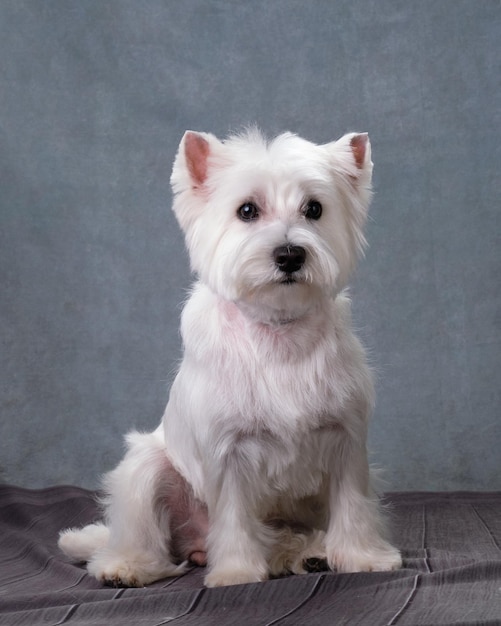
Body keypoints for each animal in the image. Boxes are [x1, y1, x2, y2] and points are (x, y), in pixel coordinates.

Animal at [59, 127, 402, 584]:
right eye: (247, 210)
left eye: (314, 209)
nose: (290, 255)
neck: (278, 331)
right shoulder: (228, 451)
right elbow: (235, 516)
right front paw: (237, 572)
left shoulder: (345, 437)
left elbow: (352, 504)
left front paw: (363, 557)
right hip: (148, 468)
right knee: (140, 531)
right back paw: (127, 565)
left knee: (285, 535)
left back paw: (308, 553)